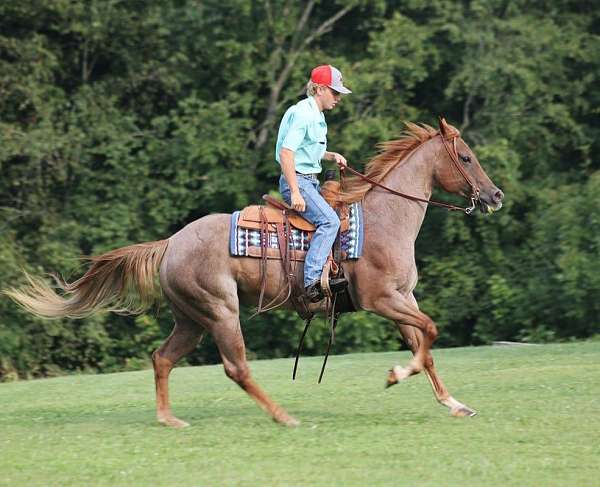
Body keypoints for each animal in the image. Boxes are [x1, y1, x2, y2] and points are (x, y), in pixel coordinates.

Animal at [5, 120, 502, 428]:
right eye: (465, 156)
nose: (495, 195)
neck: (385, 220)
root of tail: (171, 243)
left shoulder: (403, 299)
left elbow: (426, 345)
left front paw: (454, 403)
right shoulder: (382, 300)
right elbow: (429, 334)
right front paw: (395, 375)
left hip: (191, 319)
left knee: (162, 358)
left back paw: (169, 419)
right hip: (221, 310)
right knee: (236, 367)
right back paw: (284, 416)